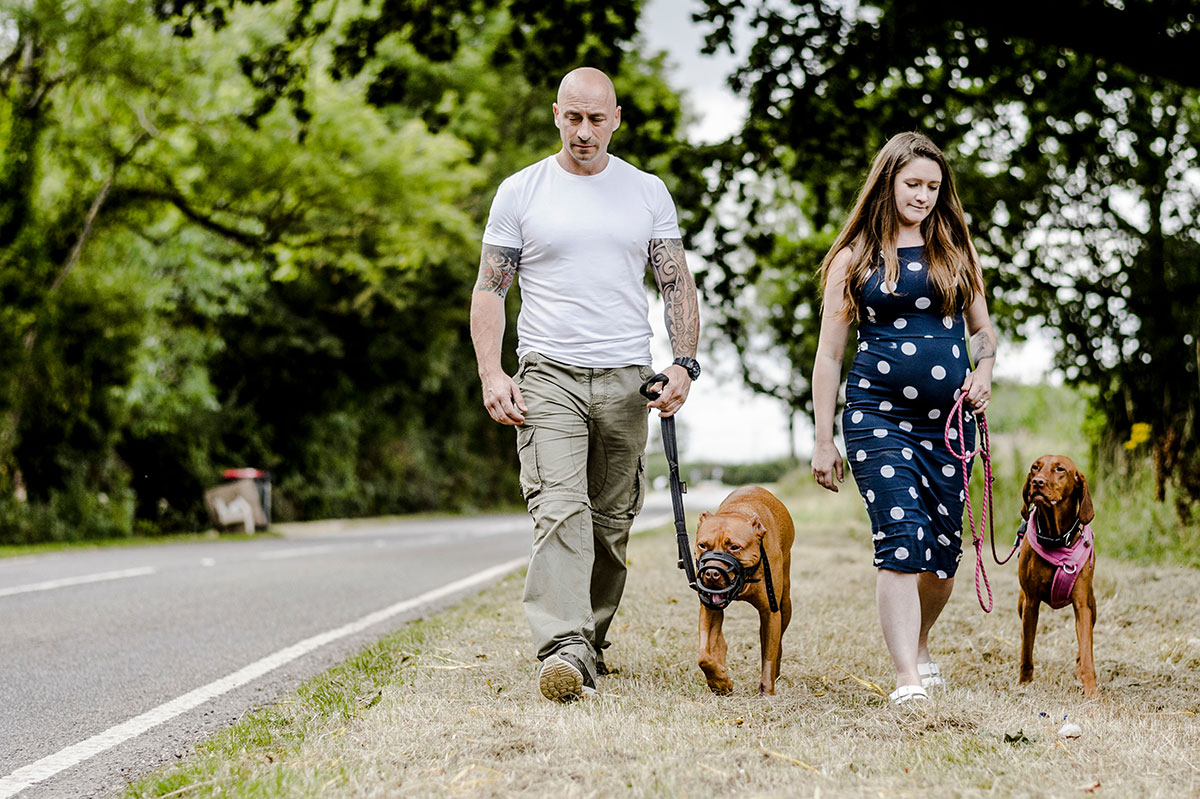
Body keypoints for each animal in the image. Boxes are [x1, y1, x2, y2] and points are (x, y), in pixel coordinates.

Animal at [696, 482, 796, 695]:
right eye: (703, 545)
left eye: (734, 547)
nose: (711, 573)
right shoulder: (709, 609)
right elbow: (704, 656)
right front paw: (719, 682)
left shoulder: (770, 612)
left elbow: (768, 658)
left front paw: (766, 693)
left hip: (784, 604)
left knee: (776, 643)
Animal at [1017, 453, 1099, 695]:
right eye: (1035, 467)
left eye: (1060, 469)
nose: (1037, 482)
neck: (1056, 537)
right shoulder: (1031, 602)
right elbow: (1026, 650)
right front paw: (1024, 684)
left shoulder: (1082, 605)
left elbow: (1087, 651)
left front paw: (1092, 690)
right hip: (1021, 604)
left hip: (1092, 606)